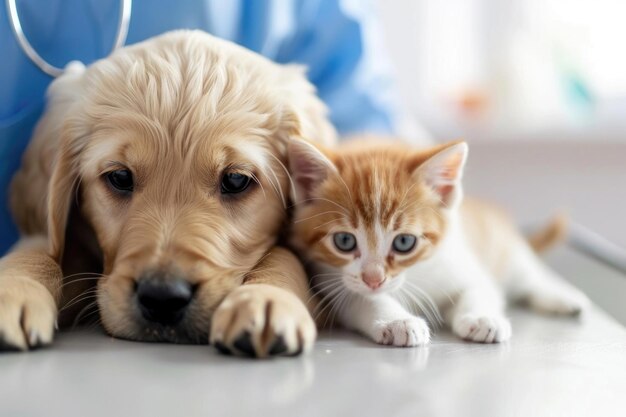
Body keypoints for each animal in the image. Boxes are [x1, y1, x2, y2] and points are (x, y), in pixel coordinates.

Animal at [0, 29, 336, 356]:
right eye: (120, 177)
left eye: (235, 180)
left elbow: (284, 255)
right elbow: (39, 250)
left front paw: (265, 298)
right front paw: (15, 288)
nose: (162, 297)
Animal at [286, 138, 588, 346]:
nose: (374, 279)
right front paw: (398, 321)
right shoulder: (330, 280)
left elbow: (479, 289)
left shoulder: (460, 261)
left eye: (404, 242)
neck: (413, 277)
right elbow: (361, 299)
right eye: (345, 240)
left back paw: (562, 297)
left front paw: (482, 318)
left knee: (530, 275)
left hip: (507, 252)